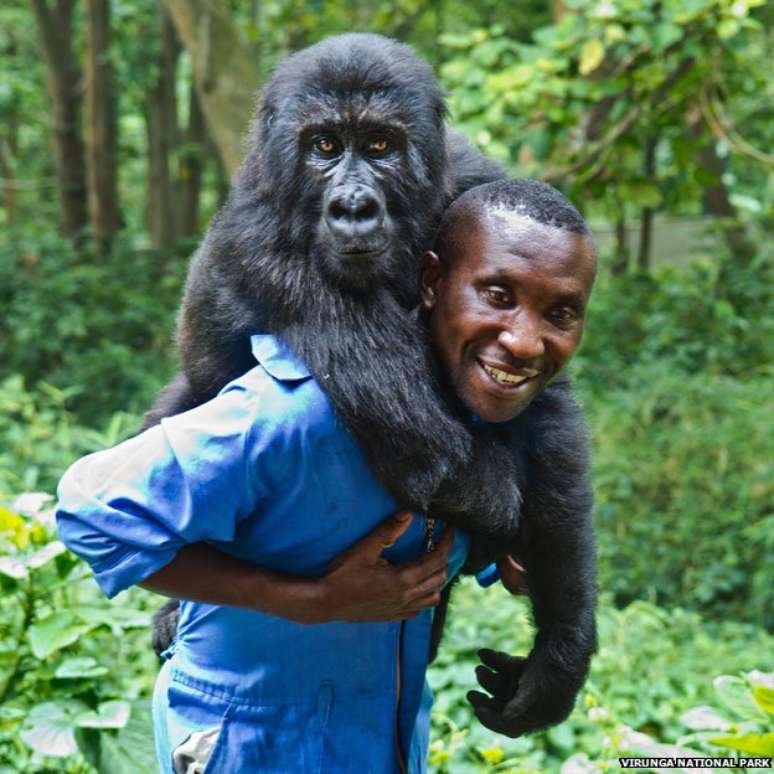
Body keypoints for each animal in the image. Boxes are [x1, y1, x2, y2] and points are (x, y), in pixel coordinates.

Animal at [147, 33, 600, 736]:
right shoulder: (264, 243)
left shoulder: (474, 178)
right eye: (325, 145)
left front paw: (560, 651)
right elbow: (443, 454)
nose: (354, 207)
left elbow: (546, 410)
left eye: (382, 145)